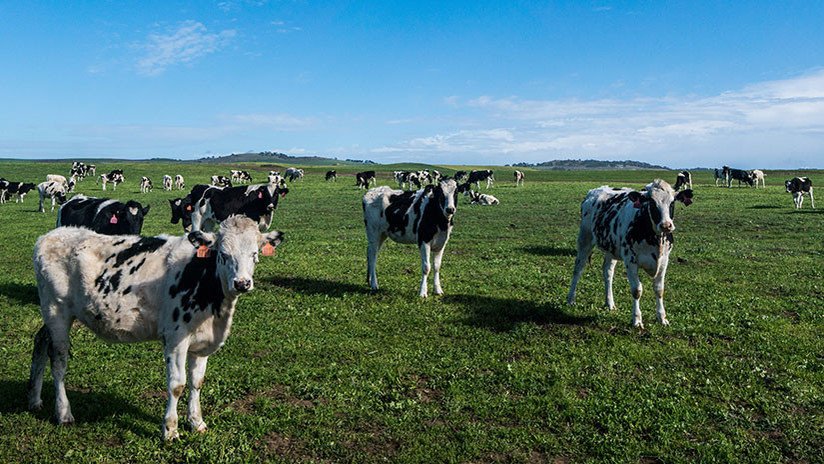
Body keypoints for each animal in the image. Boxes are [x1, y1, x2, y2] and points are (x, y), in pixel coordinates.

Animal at [28, 216, 284, 440]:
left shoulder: (203, 343)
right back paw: (63, 413)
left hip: (53, 315)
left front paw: (197, 422)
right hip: (56, 311)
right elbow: (177, 385)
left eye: (255, 253)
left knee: (40, 342)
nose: (242, 283)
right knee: (59, 361)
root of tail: (51, 235)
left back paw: (34, 400)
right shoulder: (175, 338)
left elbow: (197, 382)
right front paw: (170, 430)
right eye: (223, 253)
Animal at [567, 180, 694, 328]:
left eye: (672, 202)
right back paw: (570, 299)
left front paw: (662, 318)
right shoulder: (630, 260)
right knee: (578, 269)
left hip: (611, 248)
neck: (655, 239)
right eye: (651, 203)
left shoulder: (664, 260)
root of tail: (594, 190)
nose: (666, 225)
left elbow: (659, 289)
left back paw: (610, 303)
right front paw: (637, 320)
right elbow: (637, 290)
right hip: (584, 239)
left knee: (608, 272)